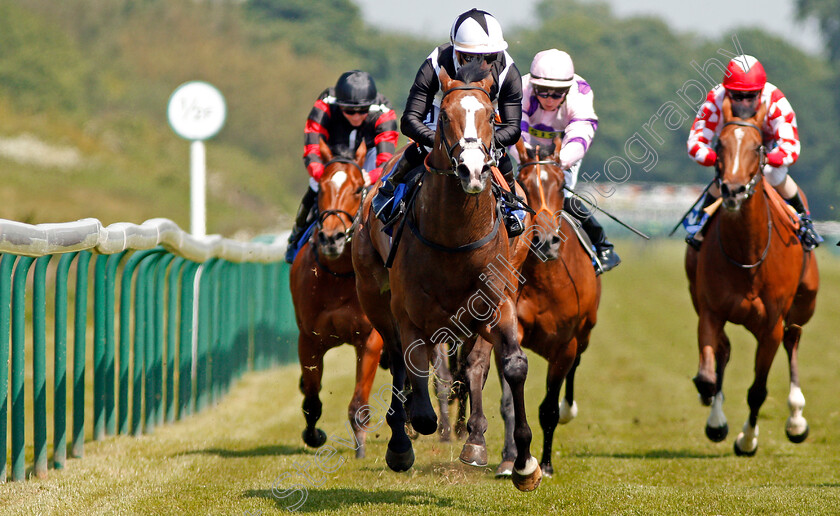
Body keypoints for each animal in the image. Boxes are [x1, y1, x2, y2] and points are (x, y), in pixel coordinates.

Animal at [288, 140, 382, 460]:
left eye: (357, 189)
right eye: (322, 189)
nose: (332, 237)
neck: (340, 275)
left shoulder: (370, 339)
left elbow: (359, 402)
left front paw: (361, 448)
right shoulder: (309, 339)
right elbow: (311, 398)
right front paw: (313, 435)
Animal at [352, 61, 540, 492]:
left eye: (491, 115)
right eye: (445, 118)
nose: (472, 170)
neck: (457, 236)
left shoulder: (497, 302)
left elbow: (512, 365)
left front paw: (523, 463)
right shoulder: (409, 311)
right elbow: (416, 374)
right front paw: (409, 432)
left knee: (474, 364)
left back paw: (476, 441)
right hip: (373, 294)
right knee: (397, 358)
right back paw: (401, 441)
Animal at [492, 139, 604, 478]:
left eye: (559, 184)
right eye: (523, 183)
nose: (544, 241)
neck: (544, 278)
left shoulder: (565, 346)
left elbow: (549, 409)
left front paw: (546, 464)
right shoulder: (509, 329)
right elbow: (509, 401)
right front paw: (511, 459)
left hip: (585, 333)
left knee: (577, 364)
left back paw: (569, 408)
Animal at [684, 97, 816, 456]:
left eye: (758, 147)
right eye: (719, 145)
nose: (732, 190)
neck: (748, 256)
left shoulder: (771, 325)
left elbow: (758, 390)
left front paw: (747, 439)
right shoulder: (710, 312)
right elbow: (708, 375)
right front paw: (715, 419)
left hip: (803, 304)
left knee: (793, 338)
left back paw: (796, 418)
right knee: (725, 351)